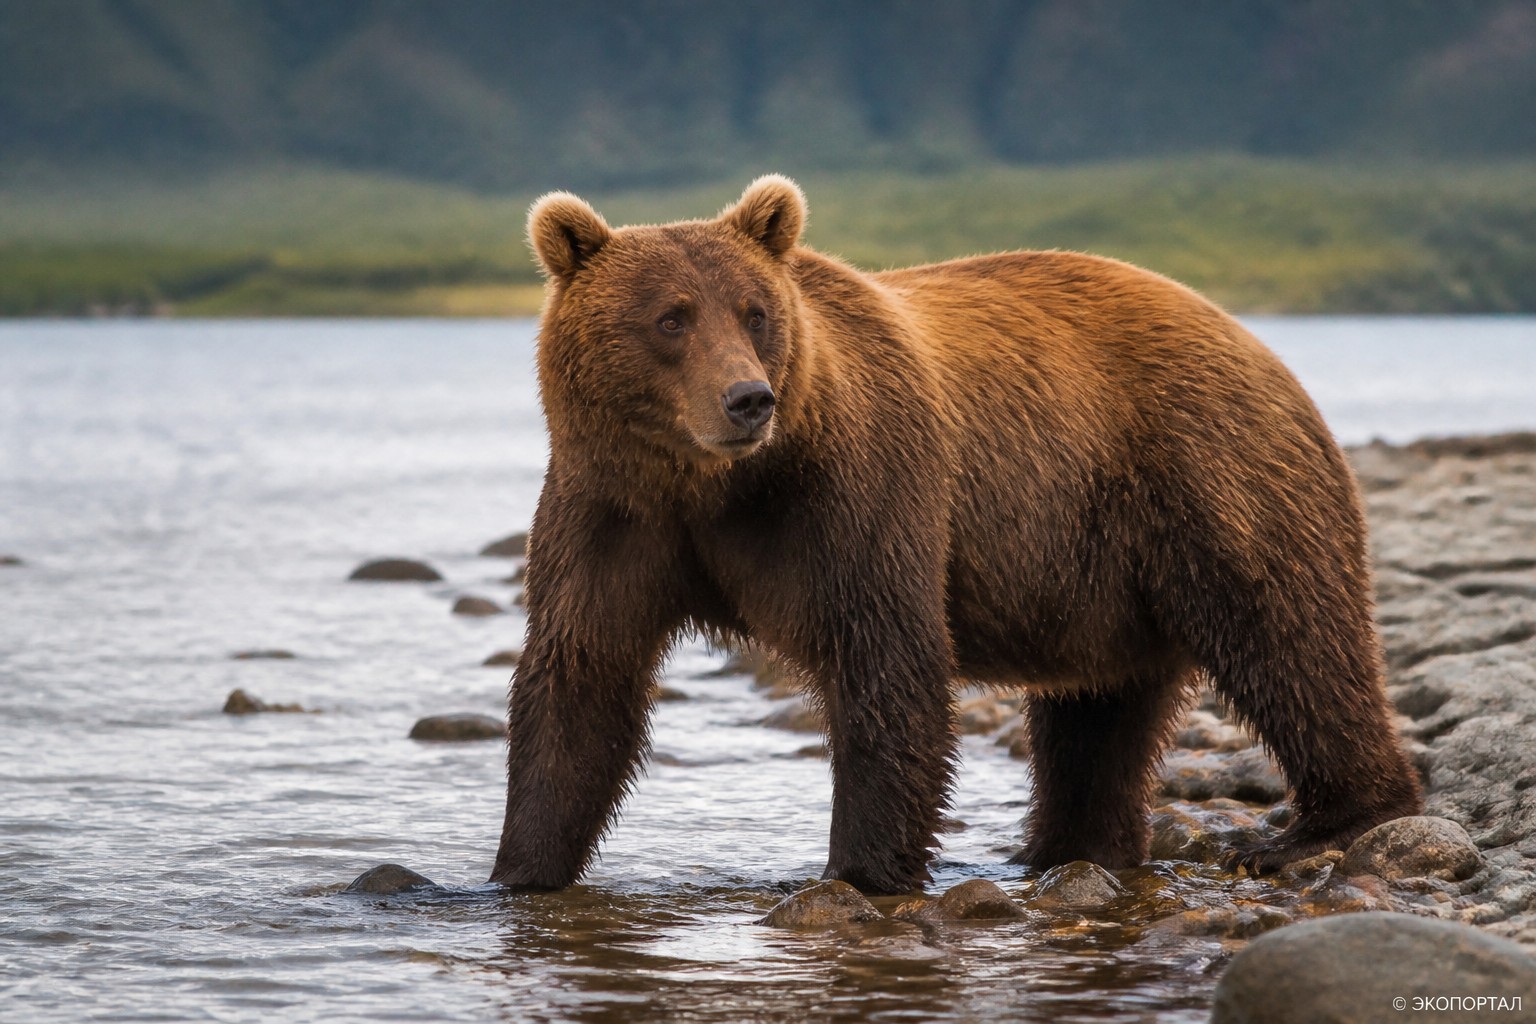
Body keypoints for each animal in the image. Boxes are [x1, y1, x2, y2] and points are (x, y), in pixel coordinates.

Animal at [490, 174, 1422, 896]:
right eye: (671, 318)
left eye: (753, 313)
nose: (748, 399)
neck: (714, 485)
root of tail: (1249, 335)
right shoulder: (612, 512)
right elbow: (580, 683)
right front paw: (518, 871)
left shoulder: (858, 493)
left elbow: (885, 661)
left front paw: (862, 872)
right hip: (1101, 569)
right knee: (1100, 712)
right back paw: (1066, 848)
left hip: (1211, 473)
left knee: (1288, 639)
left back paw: (1318, 827)